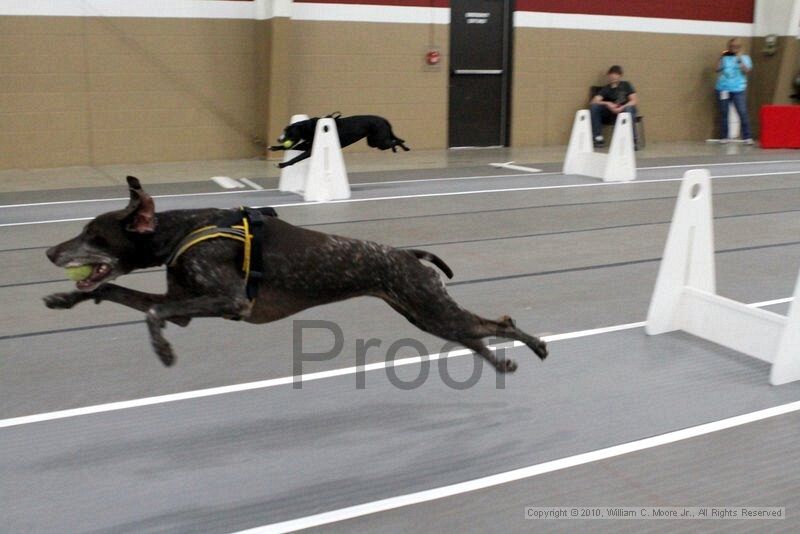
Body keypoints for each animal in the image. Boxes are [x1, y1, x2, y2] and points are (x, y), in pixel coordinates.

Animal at [42, 178, 544, 370]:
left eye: (93, 234)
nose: (49, 252)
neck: (183, 230)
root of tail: (406, 254)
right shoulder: (181, 306)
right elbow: (113, 289)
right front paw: (65, 299)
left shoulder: (229, 301)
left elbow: (150, 315)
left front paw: (163, 352)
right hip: (425, 314)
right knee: (478, 335)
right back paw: (505, 360)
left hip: (432, 308)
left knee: (498, 324)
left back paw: (535, 345)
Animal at [270, 114, 410, 169]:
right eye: (285, 130)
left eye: (289, 131)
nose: (279, 138)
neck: (310, 127)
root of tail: (384, 119)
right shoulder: (305, 145)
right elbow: (288, 148)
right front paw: (274, 147)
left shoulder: (309, 150)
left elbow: (296, 158)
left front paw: (282, 164)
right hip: (374, 141)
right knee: (394, 139)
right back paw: (398, 148)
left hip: (380, 142)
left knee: (395, 141)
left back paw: (403, 148)